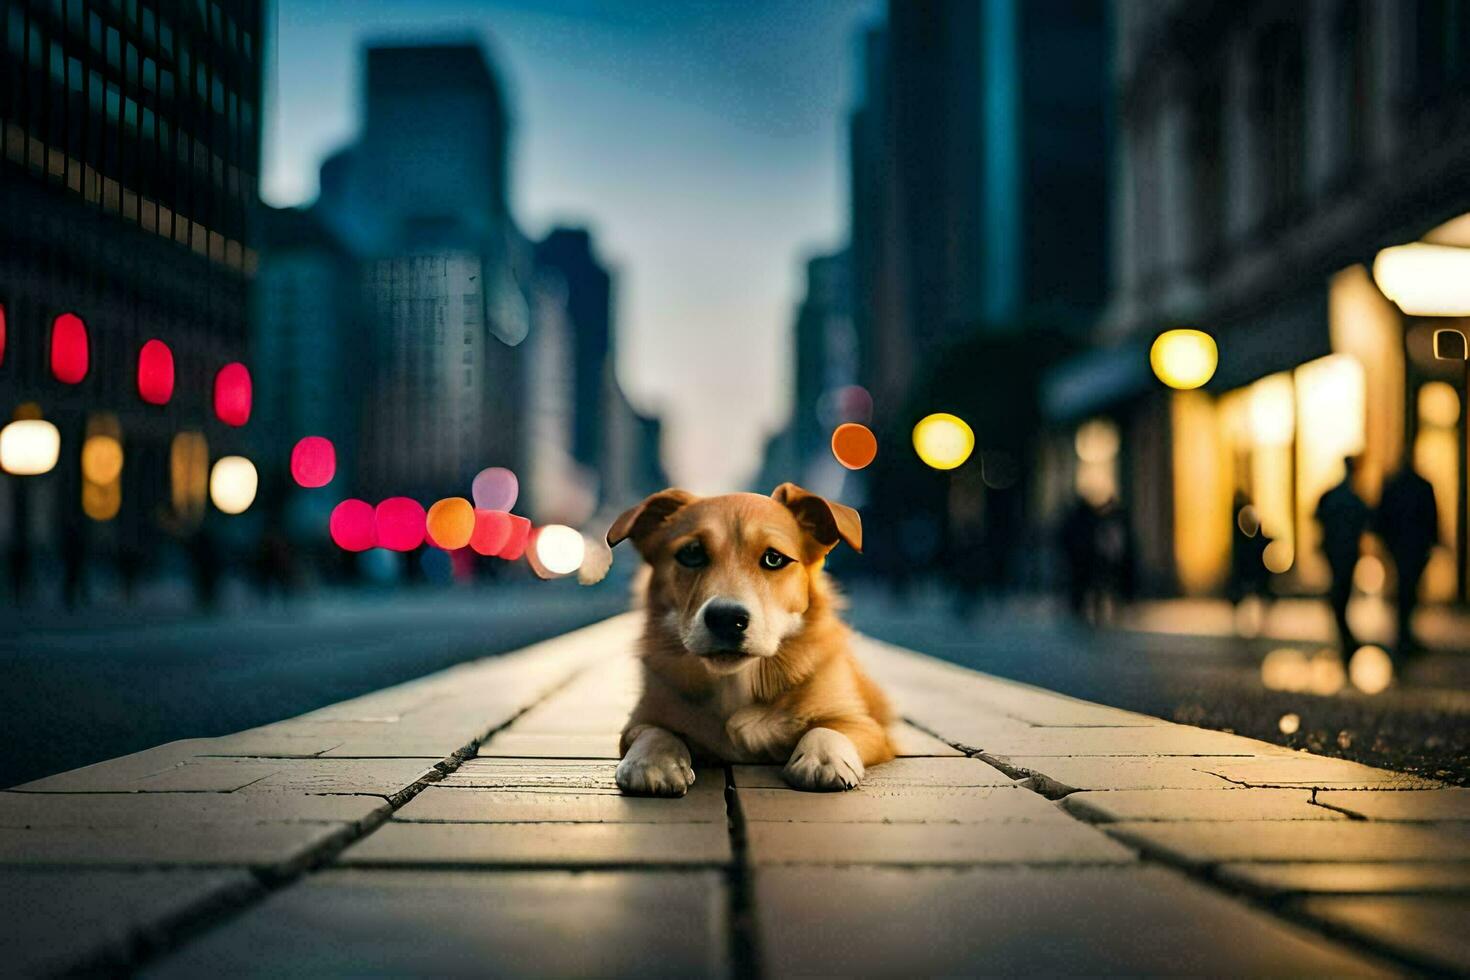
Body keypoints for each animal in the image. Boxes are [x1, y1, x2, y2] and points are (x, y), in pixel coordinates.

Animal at [602, 481, 887, 799]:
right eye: (691, 553)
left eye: (774, 558)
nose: (726, 619)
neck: (736, 679)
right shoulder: (640, 719)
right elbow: (654, 731)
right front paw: (652, 761)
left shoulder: (868, 727)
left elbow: (830, 728)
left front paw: (823, 759)